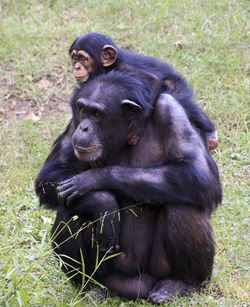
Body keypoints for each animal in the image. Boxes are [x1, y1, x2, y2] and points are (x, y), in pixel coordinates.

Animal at [34, 70, 221, 304]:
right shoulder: (73, 121)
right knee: (71, 211)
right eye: (83, 111)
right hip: (109, 277)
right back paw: (89, 286)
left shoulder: (171, 109)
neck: (128, 133)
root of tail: (134, 286)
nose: (84, 127)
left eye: (97, 115)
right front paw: (104, 203)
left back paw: (179, 284)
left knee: (183, 206)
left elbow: (199, 171)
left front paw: (92, 179)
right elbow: (51, 173)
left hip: (157, 271)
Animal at [69, 32, 219, 150]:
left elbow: (153, 80)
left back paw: (210, 132)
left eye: (83, 58)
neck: (106, 67)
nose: (76, 67)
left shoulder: (124, 67)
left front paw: (137, 127)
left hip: (176, 85)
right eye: (75, 58)